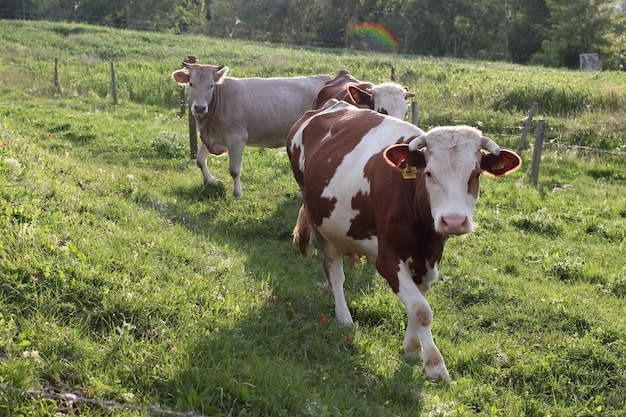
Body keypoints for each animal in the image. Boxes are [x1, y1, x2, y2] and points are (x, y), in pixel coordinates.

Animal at [171, 62, 332, 197]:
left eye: (211, 86)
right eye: (191, 84)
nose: (199, 107)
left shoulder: (237, 138)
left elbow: (234, 170)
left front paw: (237, 194)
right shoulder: (214, 138)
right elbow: (199, 159)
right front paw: (211, 181)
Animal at [286, 100, 520, 380]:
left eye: (475, 175)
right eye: (428, 173)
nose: (453, 221)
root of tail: (331, 104)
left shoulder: (428, 259)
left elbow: (417, 303)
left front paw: (412, 347)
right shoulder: (388, 259)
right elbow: (421, 309)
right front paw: (434, 364)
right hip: (318, 220)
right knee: (335, 270)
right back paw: (343, 316)